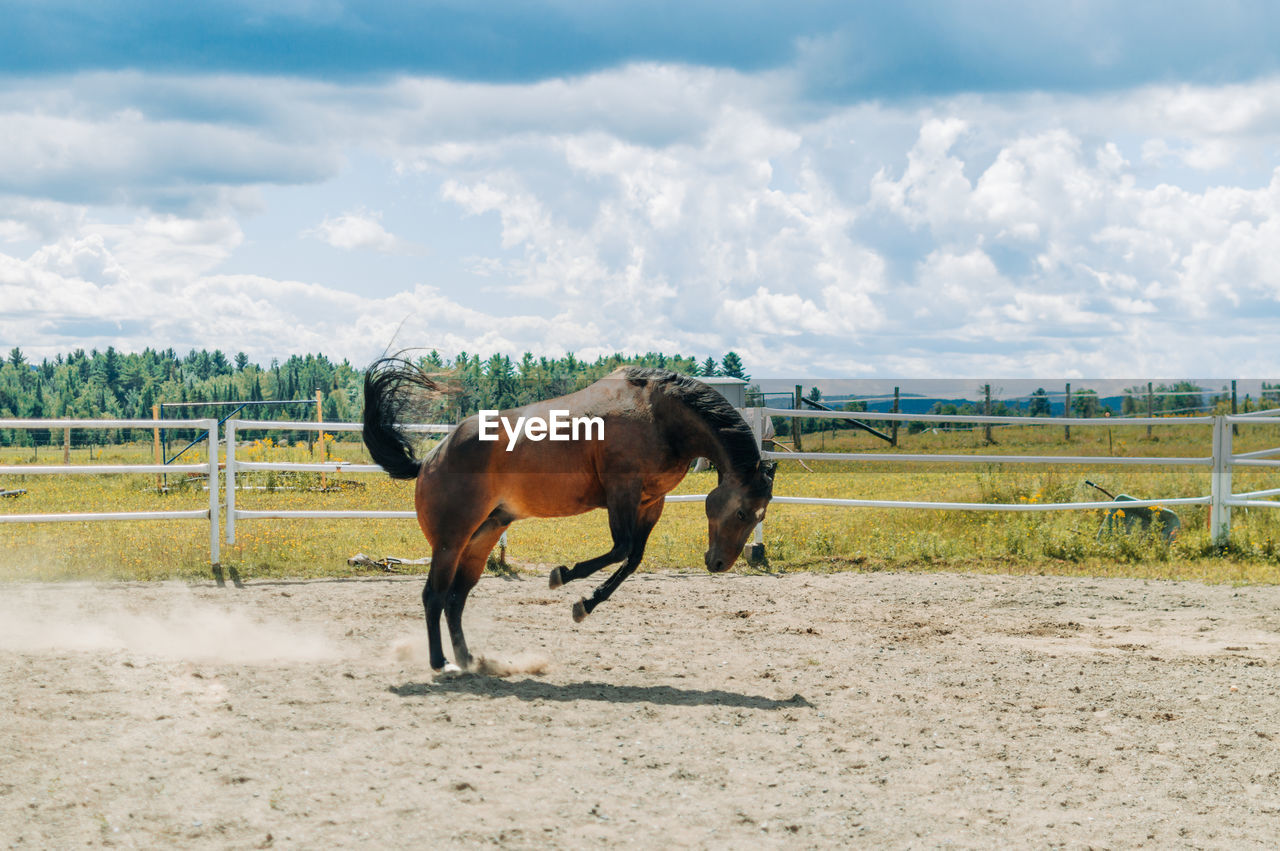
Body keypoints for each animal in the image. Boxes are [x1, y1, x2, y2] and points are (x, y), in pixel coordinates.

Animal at [366, 358, 773, 670]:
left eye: (760, 517)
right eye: (741, 513)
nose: (719, 564)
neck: (659, 417)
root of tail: (430, 460)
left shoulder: (649, 503)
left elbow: (632, 558)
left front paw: (585, 604)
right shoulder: (622, 492)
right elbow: (621, 549)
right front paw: (562, 577)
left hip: (481, 539)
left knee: (455, 599)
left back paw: (468, 660)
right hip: (450, 541)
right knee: (433, 596)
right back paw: (441, 663)